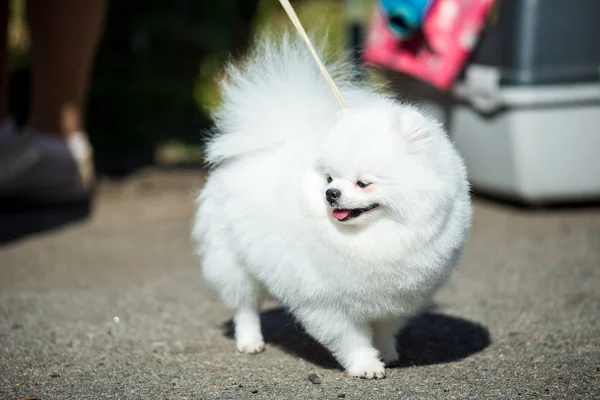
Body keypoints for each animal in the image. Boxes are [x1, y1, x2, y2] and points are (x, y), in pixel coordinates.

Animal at [192, 32, 474, 378]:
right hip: (233, 261)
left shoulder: (397, 297)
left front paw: (387, 352)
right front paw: (366, 365)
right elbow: (350, 338)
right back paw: (250, 341)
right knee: (245, 306)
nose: (331, 194)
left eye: (363, 183)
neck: (378, 237)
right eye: (329, 178)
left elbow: (385, 328)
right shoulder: (327, 303)